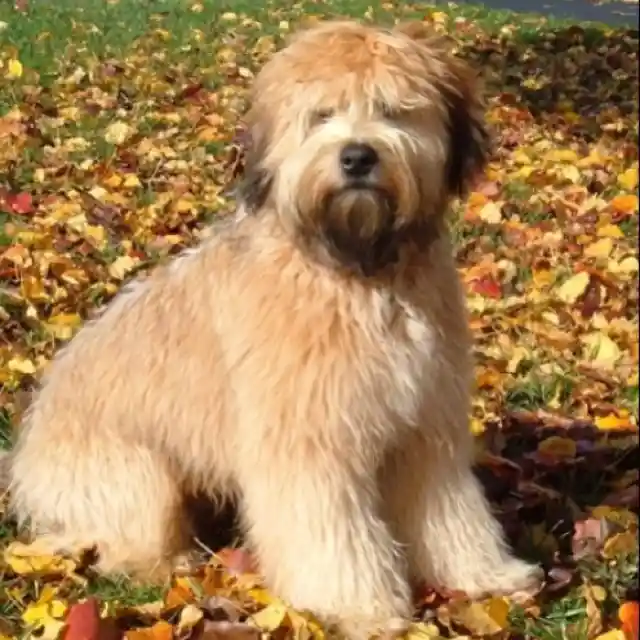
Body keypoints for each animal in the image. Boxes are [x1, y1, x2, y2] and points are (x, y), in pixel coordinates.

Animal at [6, 20, 544, 640]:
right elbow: (331, 532)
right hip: (134, 475)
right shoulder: (309, 439)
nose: (357, 157)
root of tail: (25, 458)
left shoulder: (426, 426)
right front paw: (361, 608)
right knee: (117, 543)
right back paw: (175, 560)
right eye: (321, 115)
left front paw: (487, 576)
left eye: (392, 110)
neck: (358, 270)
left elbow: (450, 509)